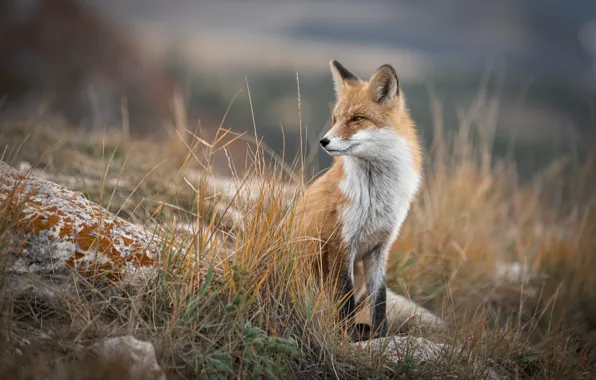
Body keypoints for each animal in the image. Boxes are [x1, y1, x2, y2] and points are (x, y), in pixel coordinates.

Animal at [292, 60, 424, 340]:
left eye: (356, 119)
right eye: (335, 119)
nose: (324, 141)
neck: (376, 196)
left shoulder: (380, 247)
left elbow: (380, 300)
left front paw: (381, 337)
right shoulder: (342, 243)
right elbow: (345, 299)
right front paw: (349, 338)